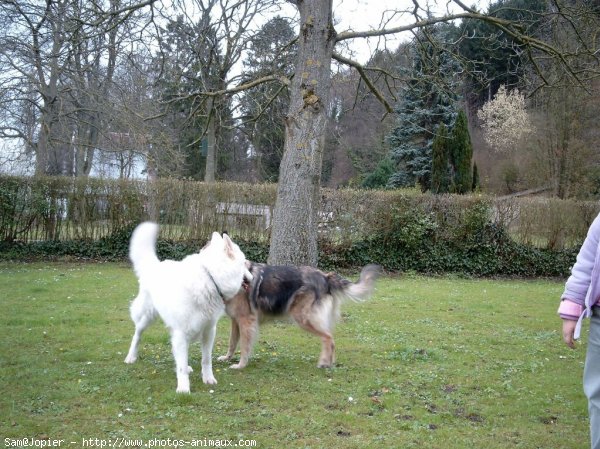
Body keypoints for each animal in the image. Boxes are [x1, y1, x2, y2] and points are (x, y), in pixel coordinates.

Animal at [124, 222, 251, 394]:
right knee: (137, 335)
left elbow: (206, 360)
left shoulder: (208, 332)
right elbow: (182, 366)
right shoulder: (181, 333)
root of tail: (156, 266)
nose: (254, 275)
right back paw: (131, 357)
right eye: (245, 263)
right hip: (147, 318)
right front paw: (183, 388)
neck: (210, 278)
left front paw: (208, 379)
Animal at [220, 262, 380, 368]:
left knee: (328, 337)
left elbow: (244, 345)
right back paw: (330, 362)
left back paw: (323, 362)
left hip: (304, 318)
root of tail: (325, 276)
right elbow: (232, 342)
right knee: (330, 338)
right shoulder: (235, 320)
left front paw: (240, 365)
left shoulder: (246, 321)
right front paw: (227, 358)